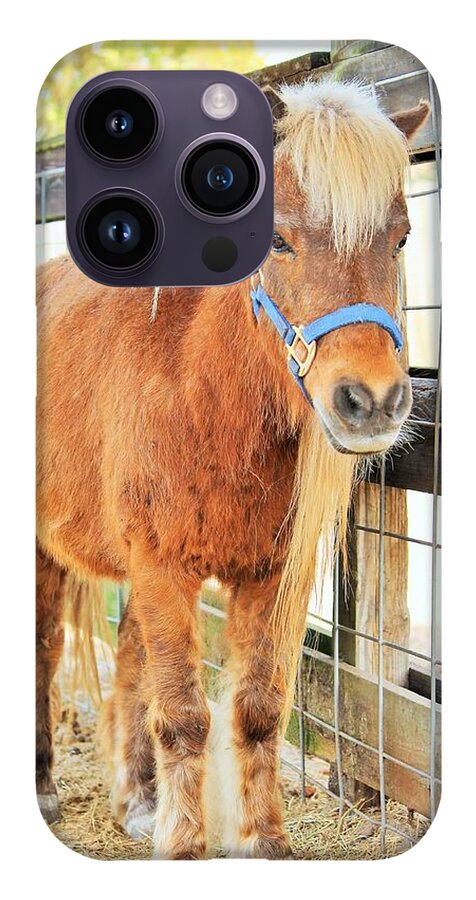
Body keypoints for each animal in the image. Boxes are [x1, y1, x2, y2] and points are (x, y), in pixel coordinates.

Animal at [36, 78, 429, 858]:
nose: (371, 402)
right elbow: (185, 716)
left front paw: (263, 843)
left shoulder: (270, 576)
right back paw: (43, 787)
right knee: (44, 650)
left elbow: (255, 710)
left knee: (130, 665)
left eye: (401, 238)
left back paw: (137, 801)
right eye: (277, 239)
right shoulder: (162, 566)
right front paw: (187, 847)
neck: (204, 391)